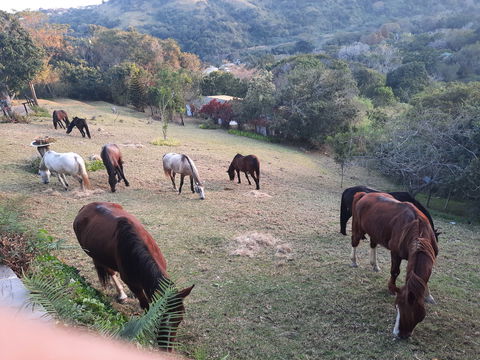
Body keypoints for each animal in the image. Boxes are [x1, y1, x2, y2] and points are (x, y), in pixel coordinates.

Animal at [74, 202, 194, 352]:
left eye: (179, 319)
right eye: (160, 316)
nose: (166, 348)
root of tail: (85, 207)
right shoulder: (133, 284)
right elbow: (146, 305)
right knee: (109, 271)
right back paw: (121, 294)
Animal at [348, 193, 438, 338]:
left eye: (416, 314)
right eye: (397, 306)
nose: (399, 334)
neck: (417, 229)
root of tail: (364, 194)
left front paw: (428, 296)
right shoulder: (396, 253)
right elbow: (395, 271)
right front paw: (391, 288)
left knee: (373, 244)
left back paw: (374, 265)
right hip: (358, 226)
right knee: (355, 241)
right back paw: (354, 261)